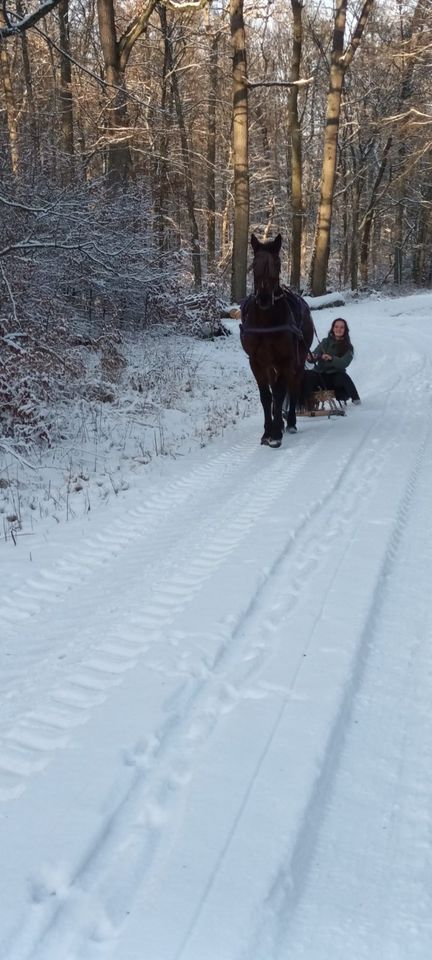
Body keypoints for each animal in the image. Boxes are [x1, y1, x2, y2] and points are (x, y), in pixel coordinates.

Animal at [240, 232, 314, 446]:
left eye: (278, 263)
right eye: (254, 262)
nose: (264, 298)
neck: (267, 322)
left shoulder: (285, 360)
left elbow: (280, 393)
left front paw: (275, 434)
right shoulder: (256, 362)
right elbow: (267, 396)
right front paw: (268, 431)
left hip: (298, 359)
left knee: (294, 385)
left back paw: (290, 423)